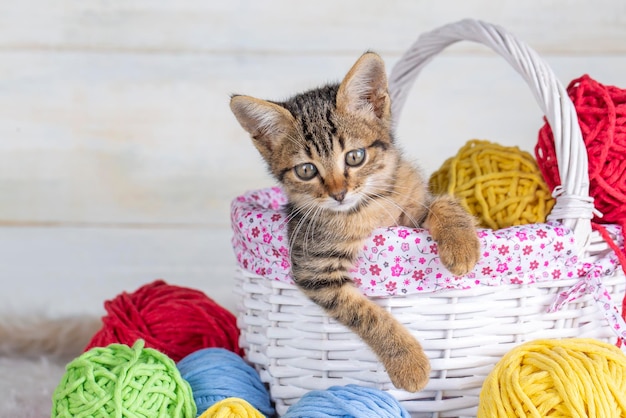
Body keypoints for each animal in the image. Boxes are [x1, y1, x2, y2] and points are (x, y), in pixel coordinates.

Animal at [229, 52, 478, 392]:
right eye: (306, 170)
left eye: (355, 157)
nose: (338, 193)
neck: (366, 208)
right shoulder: (316, 269)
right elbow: (367, 315)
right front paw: (408, 363)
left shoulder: (414, 206)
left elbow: (444, 203)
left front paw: (462, 247)